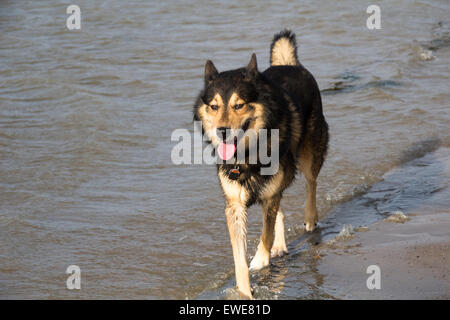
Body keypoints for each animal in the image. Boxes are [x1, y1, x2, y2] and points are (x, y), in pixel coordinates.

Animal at [192, 28, 328, 298]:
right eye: (214, 106)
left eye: (239, 105)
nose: (222, 131)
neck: (248, 153)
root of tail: (290, 64)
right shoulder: (234, 205)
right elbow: (239, 258)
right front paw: (244, 290)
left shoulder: (271, 192)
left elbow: (266, 231)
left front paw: (261, 260)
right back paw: (280, 245)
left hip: (310, 152)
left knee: (311, 183)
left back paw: (309, 219)